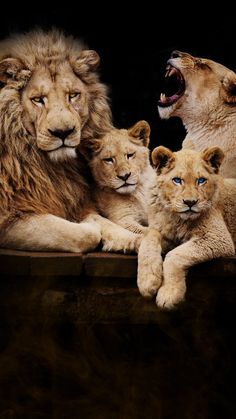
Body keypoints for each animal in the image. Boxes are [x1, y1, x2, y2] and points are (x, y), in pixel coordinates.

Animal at [0, 29, 140, 254]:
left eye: (73, 95)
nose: (63, 132)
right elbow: (87, 234)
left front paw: (135, 239)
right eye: (38, 99)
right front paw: (90, 228)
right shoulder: (9, 216)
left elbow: (105, 222)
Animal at [137, 146, 235, 310]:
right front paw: (148, 280)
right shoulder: (164, 231)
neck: (177, 219)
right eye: (177, 180)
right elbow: (148, 237)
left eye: (201, 180)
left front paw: (169, 294)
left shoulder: (218, 238)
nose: (190, 202)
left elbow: (174, 256)